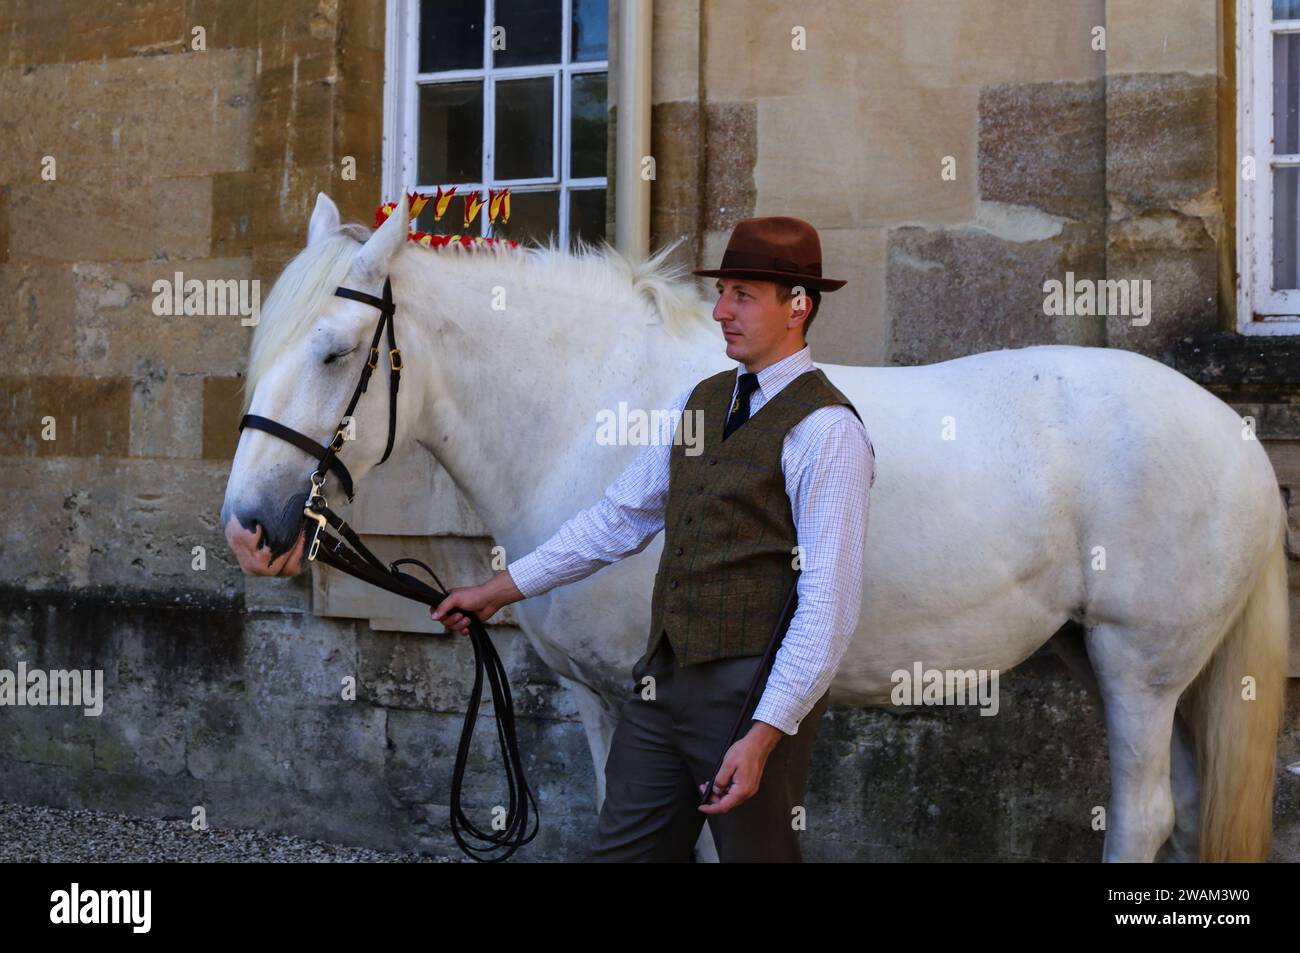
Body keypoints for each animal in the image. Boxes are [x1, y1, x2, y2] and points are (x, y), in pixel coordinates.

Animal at [221, 192, 1289, 862]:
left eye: (334, 350)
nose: (248, 528)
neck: (591, 411)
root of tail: (1234, 432)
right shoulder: (609, 701)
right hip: (1136, 665)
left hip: (1139, 666)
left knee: (1145, 816)